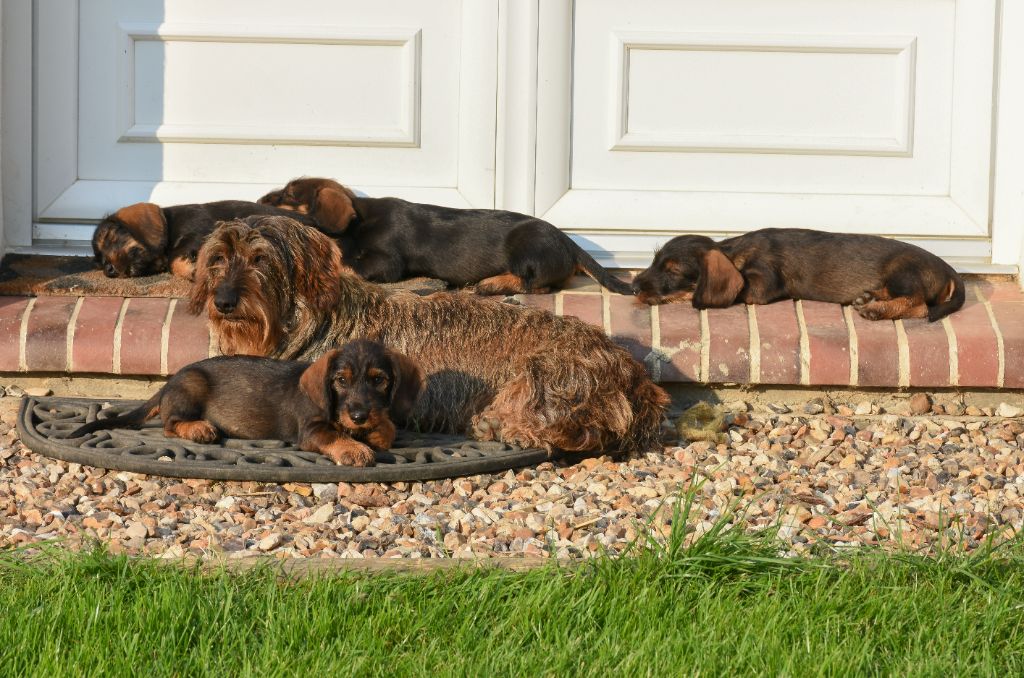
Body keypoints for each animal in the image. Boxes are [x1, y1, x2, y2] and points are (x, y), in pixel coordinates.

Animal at [68, 340, 421, 467]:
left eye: (379, 380)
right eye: (341, 380)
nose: (359, 415)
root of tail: (169, 382)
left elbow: (387, 428)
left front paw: (375, 431)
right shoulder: (311, 431)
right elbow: (334, 435)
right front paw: (354, 448)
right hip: (192, 386)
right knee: (170, 424)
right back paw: (199, 429)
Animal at [189, 215, 671, 454]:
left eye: (260, 259)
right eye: (217, 258)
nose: (223, 301)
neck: (314, 316)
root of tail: (635, 377)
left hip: (544, 373)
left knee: (577, 429)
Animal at [256, 176, 630, 297]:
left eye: (289, 194)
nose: (259, 198)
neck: (358, 221)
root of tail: (569, 242)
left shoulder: (386, 262)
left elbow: (352, 264)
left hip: (526, 247)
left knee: (536, 283)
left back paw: (491, 284)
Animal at [634, 228, 962, 323]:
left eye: (673, 271)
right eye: (655, 261)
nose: (634, 287)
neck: (735, 254)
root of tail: (949, 270)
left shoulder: (762, 284)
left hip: (903, 272)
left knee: (920, 305)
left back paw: (876, 309)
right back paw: (869, 297)